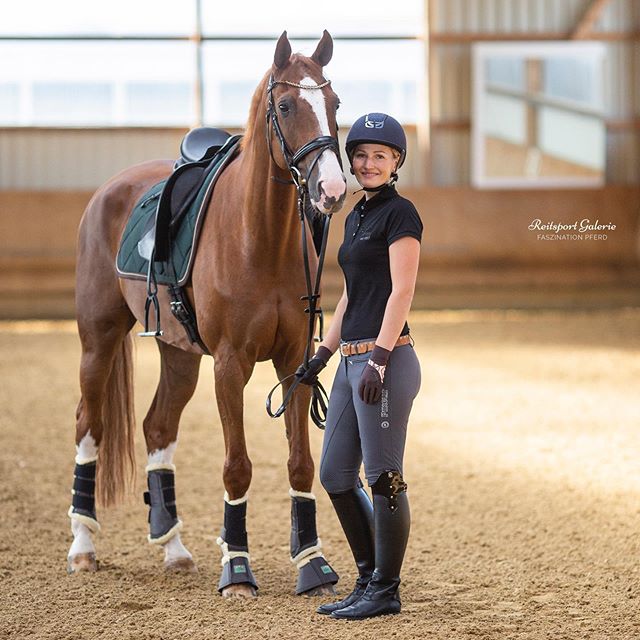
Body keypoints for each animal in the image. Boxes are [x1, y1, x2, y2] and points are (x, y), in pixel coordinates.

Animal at [67, 32, 348, 596]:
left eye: (334, 104)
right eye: (287, 105)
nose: (331, 190)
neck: (259, 237)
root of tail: (111, 188)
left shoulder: (295, 363)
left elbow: (300, 464)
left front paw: (312, 565)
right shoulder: (230, 364)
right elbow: (237, 466)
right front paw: (237, 570)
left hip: (178, 355)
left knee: (157, 429)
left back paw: (174, 548)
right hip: (98, 338)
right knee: (91, 424)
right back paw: (83, 546)